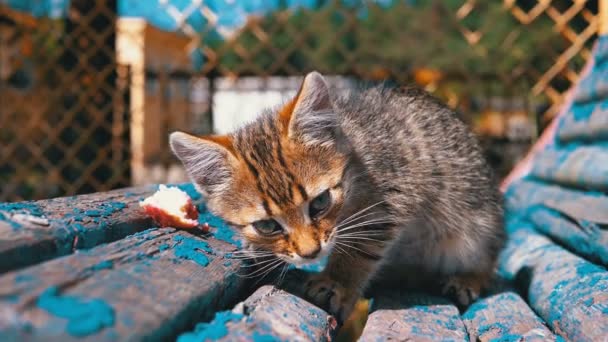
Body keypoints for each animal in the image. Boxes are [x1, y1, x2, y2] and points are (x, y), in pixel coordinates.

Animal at [169, 71, 506, 322]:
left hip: (475, 226)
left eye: (320, 203)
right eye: (267, 226)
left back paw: (469, 278)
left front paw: (337, 283)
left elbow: (358, 249)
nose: (310, 254)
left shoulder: (391, 200)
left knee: (485, 257)